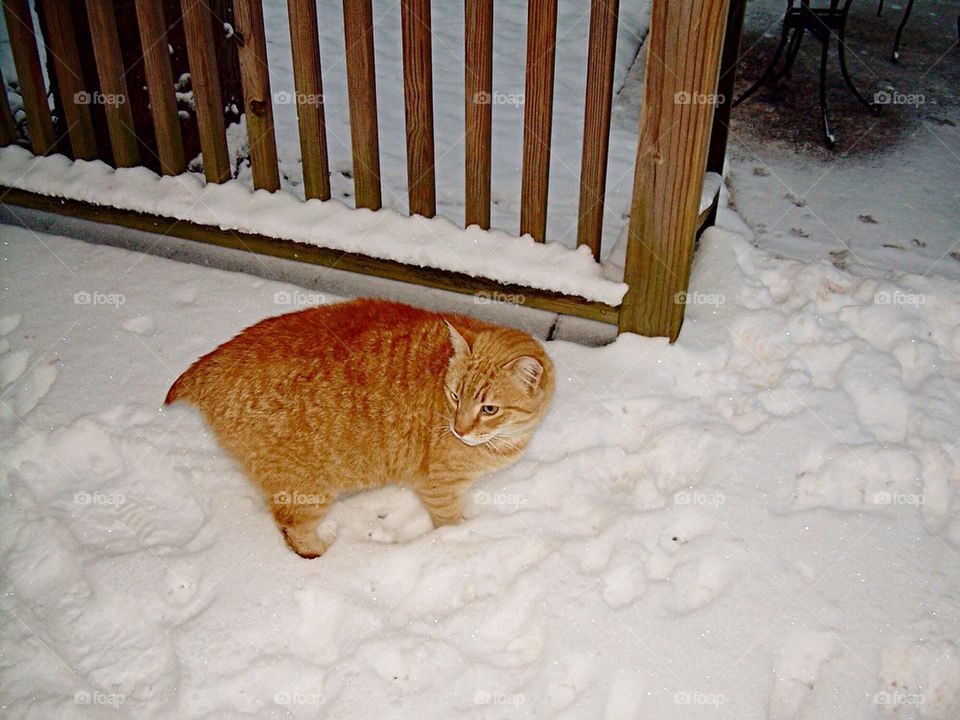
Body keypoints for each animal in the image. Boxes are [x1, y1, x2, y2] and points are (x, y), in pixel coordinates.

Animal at [165, 298, 556, 556]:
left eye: (489, 409)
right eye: (455, 396)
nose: (459, 430)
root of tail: (211, 361)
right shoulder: (440, 487)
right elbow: (450, 522)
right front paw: (460, 539)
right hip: (307, 490)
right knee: (293, 530)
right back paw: (324, 550)